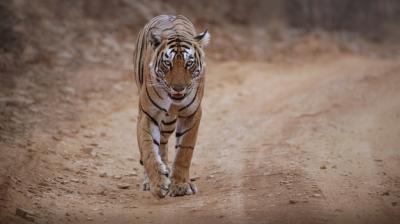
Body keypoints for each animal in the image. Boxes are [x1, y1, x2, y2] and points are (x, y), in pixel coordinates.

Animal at [133, 14, 211, 199]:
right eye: (167, 63)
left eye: (189, 63)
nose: (178, 88)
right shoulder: (148, 114)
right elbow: (147, 148)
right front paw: (158, 183)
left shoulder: (192, 113)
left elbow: (184, 151)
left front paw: (180, 185)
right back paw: (151, 179)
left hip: (169, 122)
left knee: (163, 141)